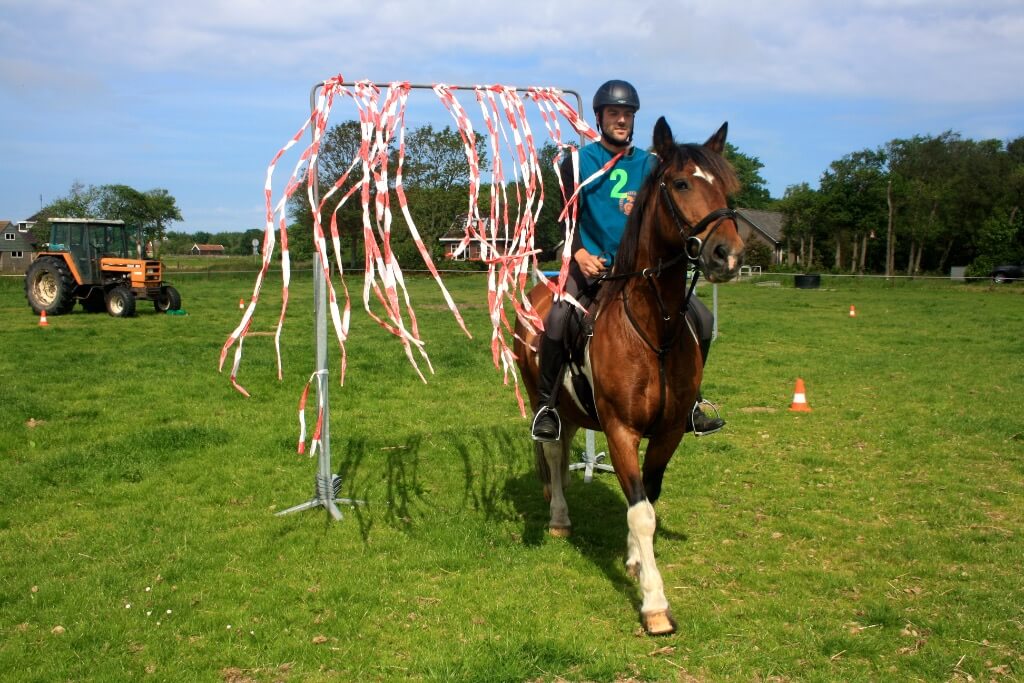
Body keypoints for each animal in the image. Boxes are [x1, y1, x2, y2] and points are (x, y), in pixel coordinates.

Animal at [513, 118, 745, 636]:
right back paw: (559, 518)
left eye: (727, 187)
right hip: (545, 399)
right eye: (680, 184)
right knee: (553, 450)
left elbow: (647, 501)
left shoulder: (669, 430)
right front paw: (655, 603)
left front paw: (638, 561)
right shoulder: (619, 429)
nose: (728, 255)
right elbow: (641, 513)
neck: (653, 327)